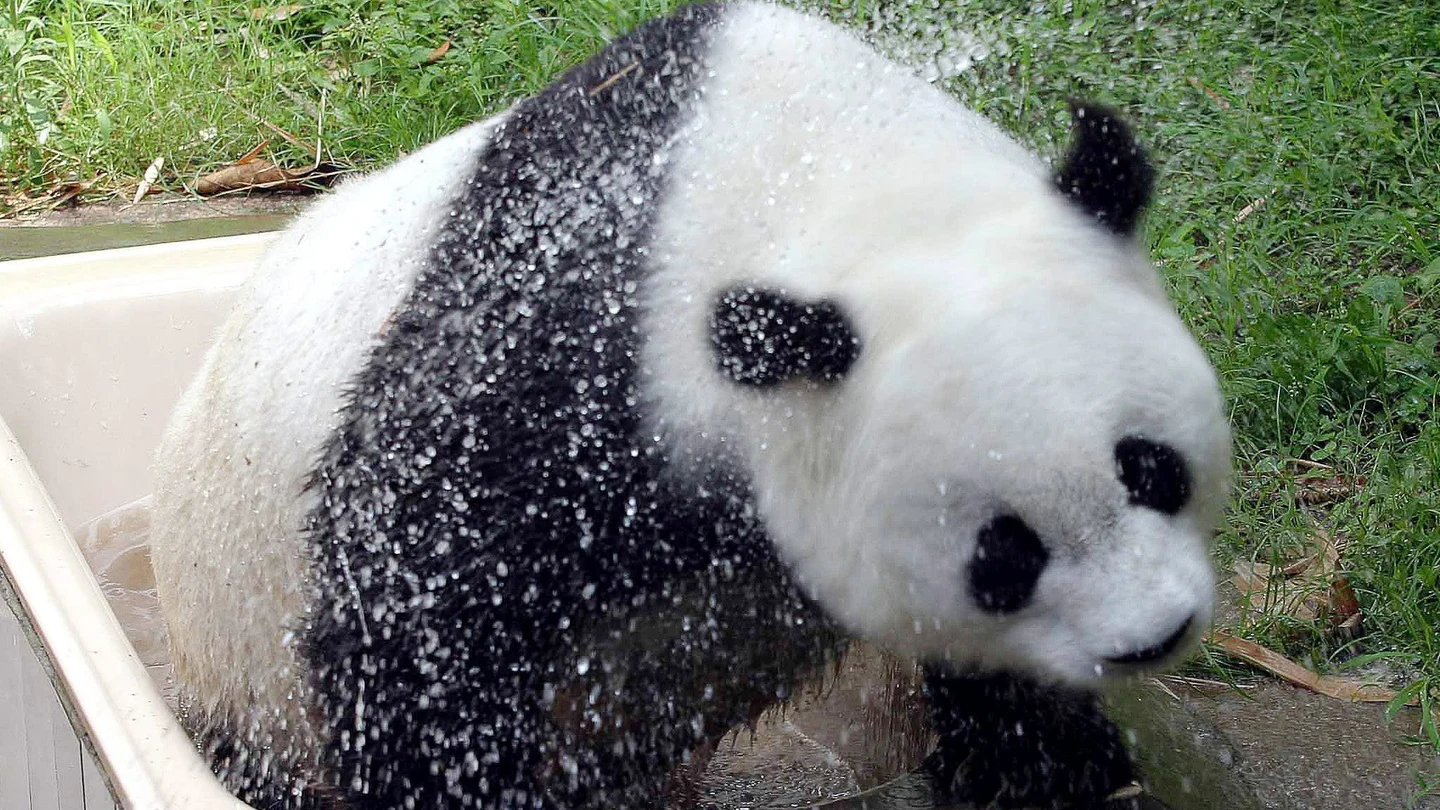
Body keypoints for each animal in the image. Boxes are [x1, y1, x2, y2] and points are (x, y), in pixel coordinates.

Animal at [148, 3, 1232, 810]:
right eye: (1002, 554)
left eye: (1153, 469)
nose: (1154, 636)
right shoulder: (571, 347)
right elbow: (419, 597)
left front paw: (1051, 761)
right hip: (234, 654)